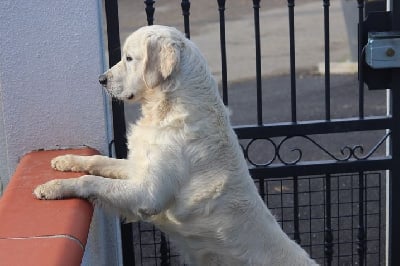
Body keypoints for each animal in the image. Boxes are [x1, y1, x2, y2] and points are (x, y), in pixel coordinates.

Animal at [36, 24, 318, 264]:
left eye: (129, 58)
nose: (101, 79)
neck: (167, 107)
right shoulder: (140, 168)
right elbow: (99, 161)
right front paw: (66, 160)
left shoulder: (149, 194)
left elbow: (91, 181)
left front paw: (52, 187)